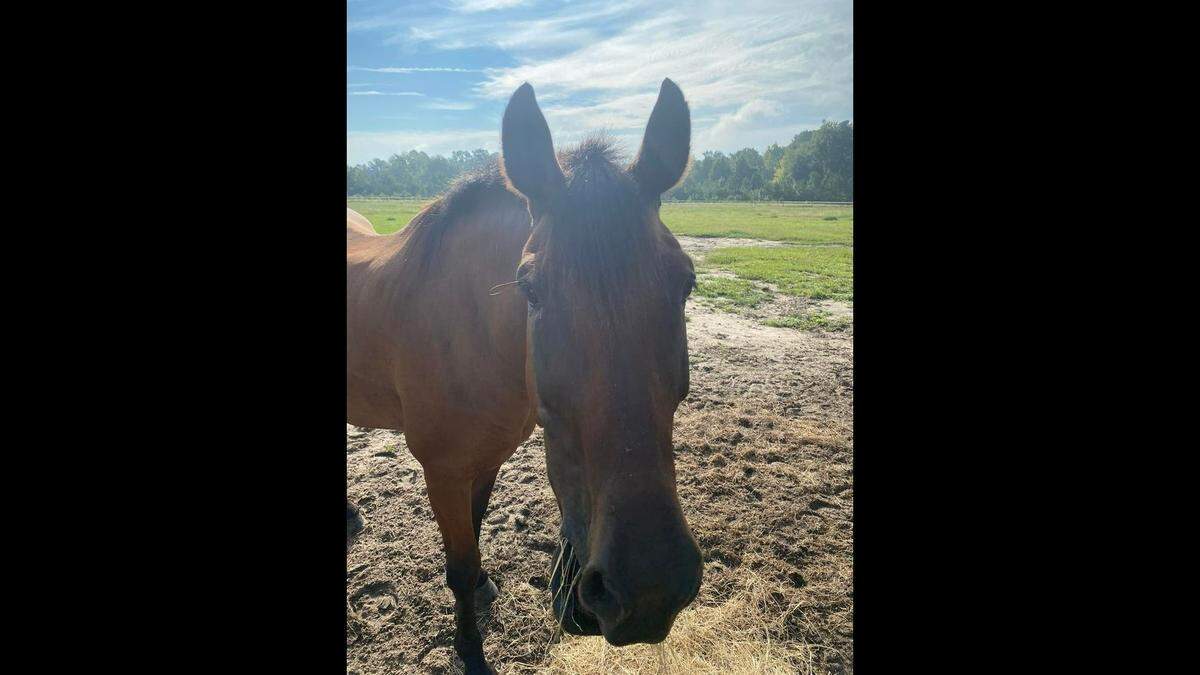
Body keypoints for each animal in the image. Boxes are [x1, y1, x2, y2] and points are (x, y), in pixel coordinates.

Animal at [346, 79, 702, 674]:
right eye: (529, 290)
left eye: (686, 283)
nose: (649, 587)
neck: (469, 328)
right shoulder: (442, 470)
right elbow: (459, 566)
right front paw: (470, 651)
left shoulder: (486, 458)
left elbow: (475, 535)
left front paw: (484, 589)